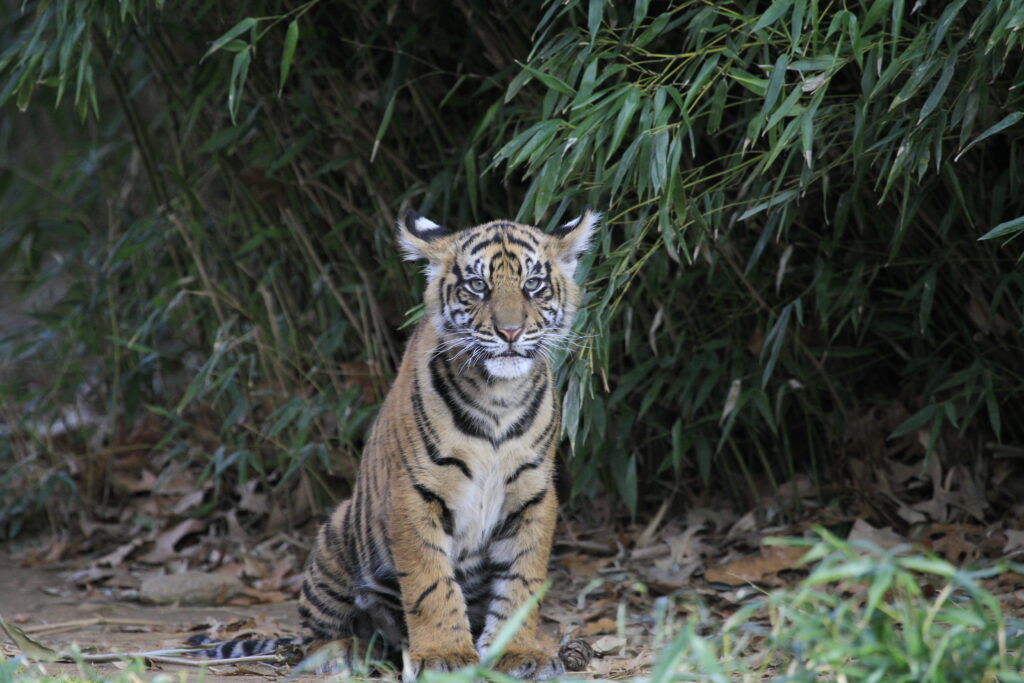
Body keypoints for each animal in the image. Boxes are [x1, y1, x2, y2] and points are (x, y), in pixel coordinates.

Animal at [189, 208, 599, 680]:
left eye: (533, 284)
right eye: (478, 286)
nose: (510, 332)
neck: (499, 395)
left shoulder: (532, 494)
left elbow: (522, 578)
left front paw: (519, 652)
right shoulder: (414, 492)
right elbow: (430, 581)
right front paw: (444, 655)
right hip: (335, 535)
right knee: (314, 634)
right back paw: (343, 652)